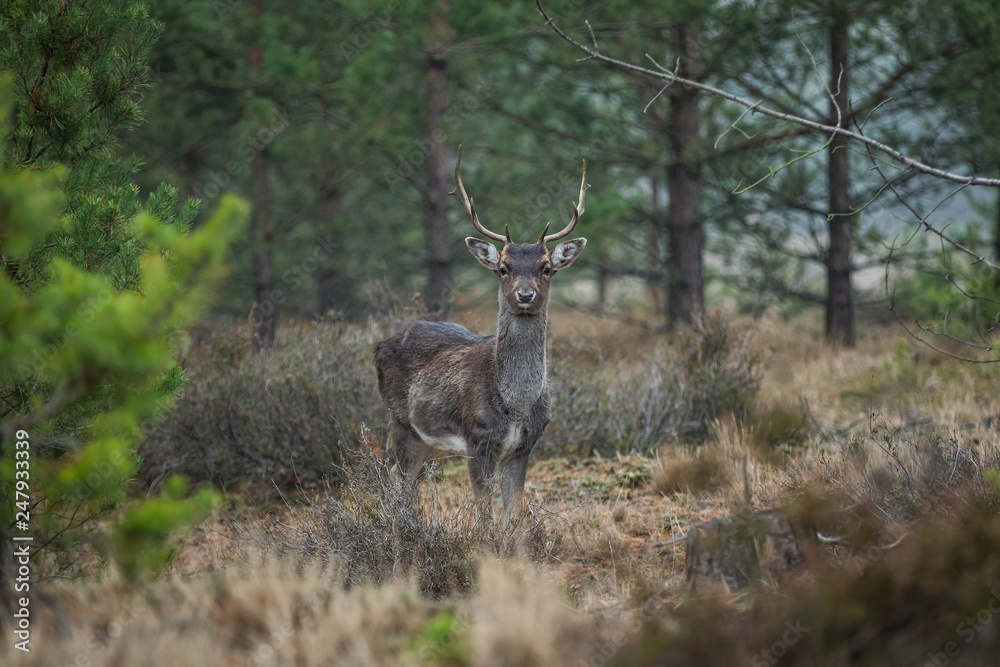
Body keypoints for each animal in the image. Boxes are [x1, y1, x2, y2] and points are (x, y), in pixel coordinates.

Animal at [374, 147, 588, 522]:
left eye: (546, 268)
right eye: (503, 268)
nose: (525, 295)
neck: (516, 406)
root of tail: (378, 347)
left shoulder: (525, 445)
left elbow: (513, 512)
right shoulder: (477, 439)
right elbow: (484, 514)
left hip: (426, 439)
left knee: (411, 486)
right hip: (398, 421)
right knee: (394, 483)